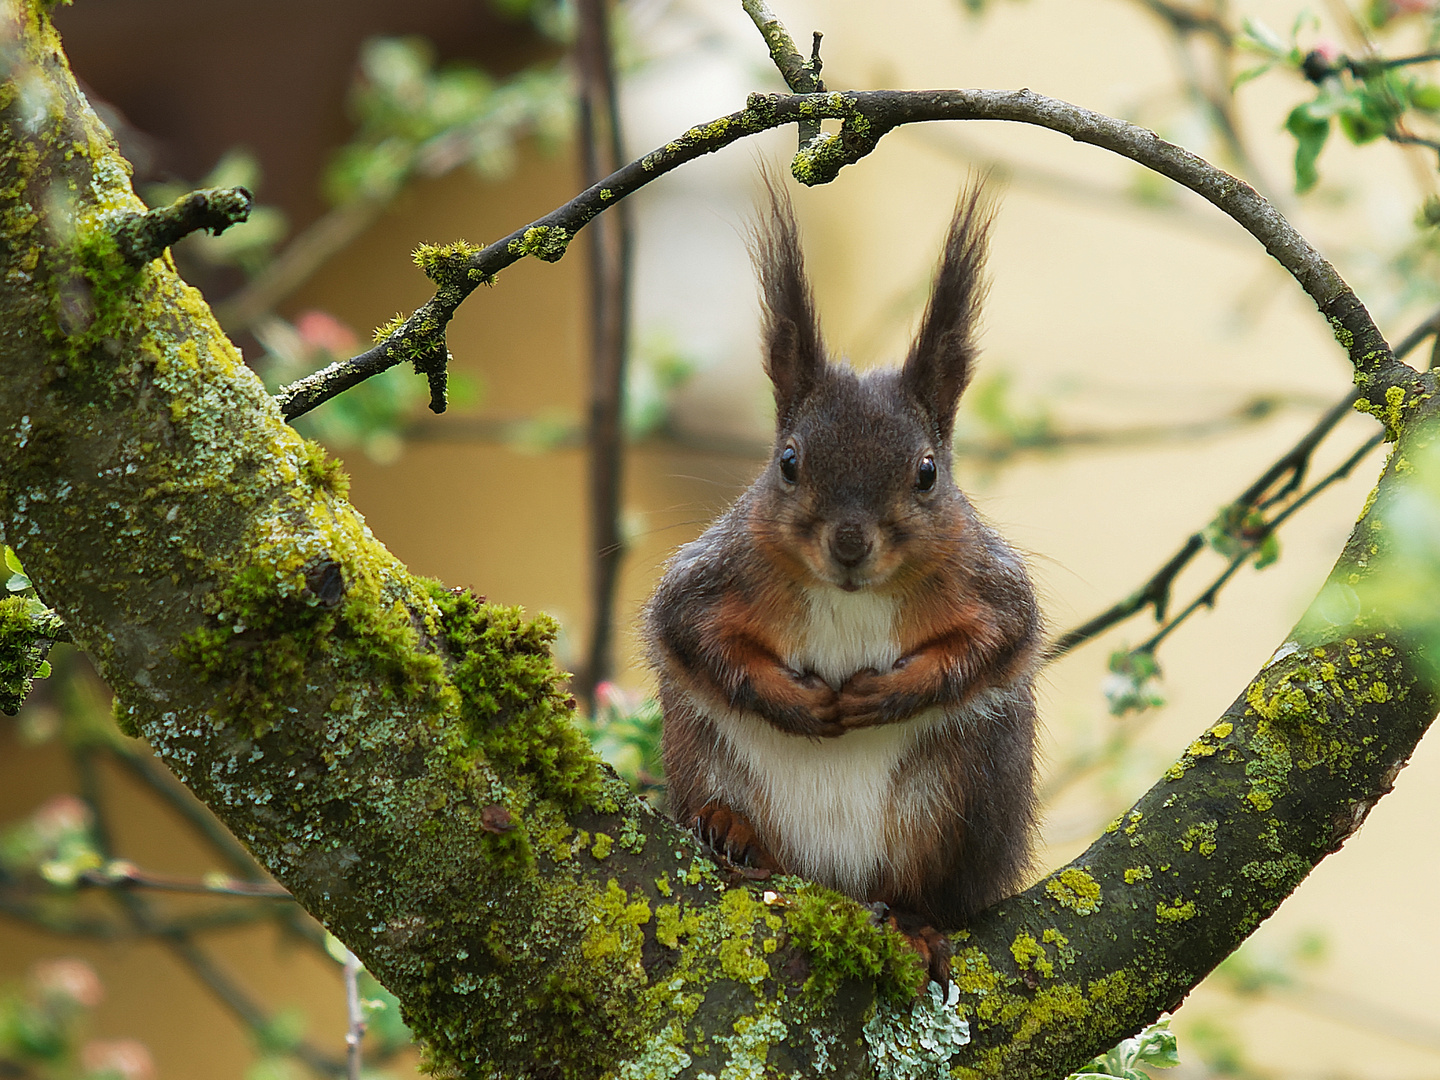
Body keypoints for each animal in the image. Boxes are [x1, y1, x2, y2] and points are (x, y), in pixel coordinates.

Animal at [648, 177, 1042, 961]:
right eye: (788, 463)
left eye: (928, 473)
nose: (852, 544)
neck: (851, 595)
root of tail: (835, 881)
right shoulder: (711, 576)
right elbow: (695, 637)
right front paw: (800, 704)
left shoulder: (990, 584)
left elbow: (995, 640)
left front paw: (884, 695)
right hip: (706, 758)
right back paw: (734, 833)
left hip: (952, 802)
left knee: (923, 888)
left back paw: (914, 923)